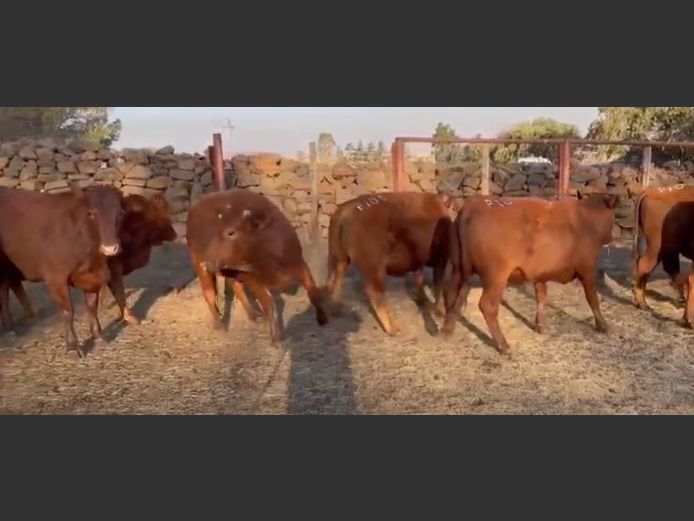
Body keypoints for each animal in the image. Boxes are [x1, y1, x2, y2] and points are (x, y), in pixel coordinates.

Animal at [0, 185, 124, 357]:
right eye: (91, 213)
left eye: (120, 213)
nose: (110, 248)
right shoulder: (56, 278)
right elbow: (68, 311)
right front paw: (73, 346)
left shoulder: (93, 278)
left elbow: (92, 306)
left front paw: (98, 334)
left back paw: (14, 324)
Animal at [186, 189, 327, 344]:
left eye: (231, 232)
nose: (207, 262)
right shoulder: (253, 277)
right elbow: (268, 303)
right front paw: (276, 337)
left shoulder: (299, 263)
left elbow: (313, 291)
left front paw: (322, 318)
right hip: (199, 264)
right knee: (210, 294)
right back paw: (219, 324)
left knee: (236, 287)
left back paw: (252, 314)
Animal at [323, 191, 457, 336]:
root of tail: (346, 209)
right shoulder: (441, 259)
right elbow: (438, 286)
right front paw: (439, 311)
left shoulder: (418, 260)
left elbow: (419, 280)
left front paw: (423, 301)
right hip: (375, 267)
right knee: (375, 293)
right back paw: (392, 329)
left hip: (340, 259)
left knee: (335, 282)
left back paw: (336, 311)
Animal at [442, 192, 618, 353]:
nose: (611, 237)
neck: (586, 218)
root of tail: (470, 206)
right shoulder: (587, 269)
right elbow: (593, 299)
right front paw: (602, 325)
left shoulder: (540, 274)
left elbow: (541, 297)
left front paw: (540, 325)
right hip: (496, 276)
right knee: (487, 306)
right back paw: (504, 345)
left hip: (460, 270)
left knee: (453, 296)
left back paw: (448, 331)